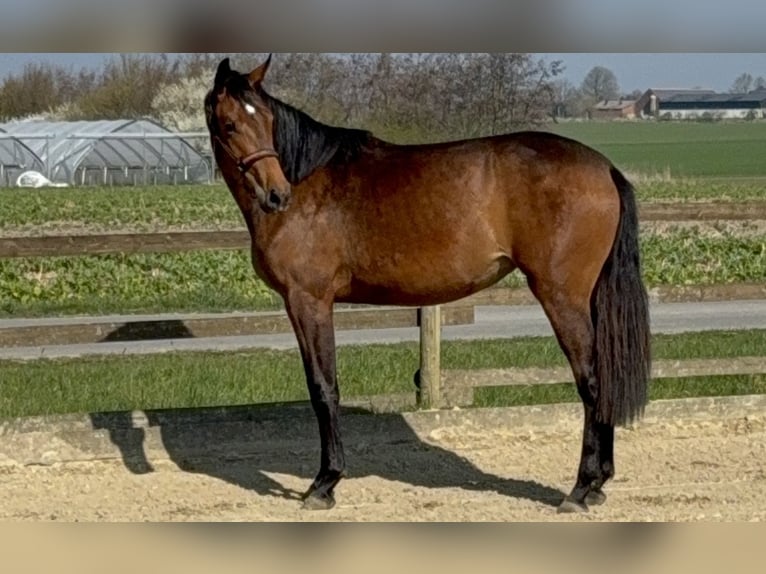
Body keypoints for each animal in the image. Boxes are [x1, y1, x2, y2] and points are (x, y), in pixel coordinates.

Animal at [204, 55, 651, 513]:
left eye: (266, 119)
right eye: (231, 124)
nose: (277, 195)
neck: (309, 179)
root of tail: (605, 168)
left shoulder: (308, 301)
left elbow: (323, 388)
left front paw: (324, 483)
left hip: (563, 298)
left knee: (591, 380)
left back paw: (580, 488)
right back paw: (598, 484)